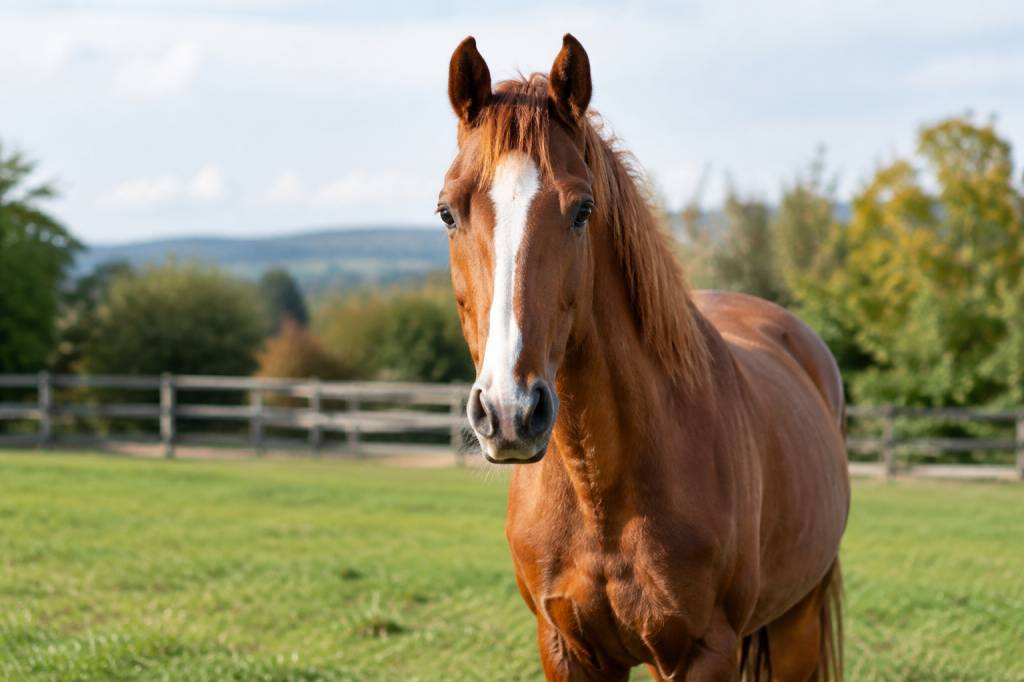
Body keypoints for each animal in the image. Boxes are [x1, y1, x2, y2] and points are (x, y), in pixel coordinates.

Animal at [438, 34, 850, 681]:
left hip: (796, 622)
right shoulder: (566, 649)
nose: (509, 412)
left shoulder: (701, 652)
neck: (601, 492)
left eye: (582, 210)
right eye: (448, 213)